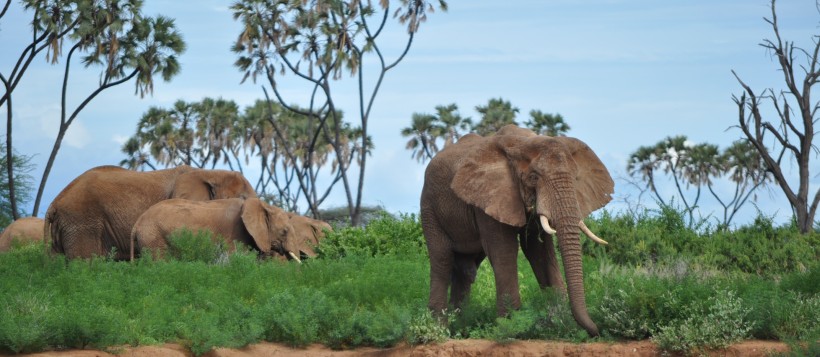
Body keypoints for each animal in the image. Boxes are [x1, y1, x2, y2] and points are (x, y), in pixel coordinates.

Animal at [422, 124, 616, 336]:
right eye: (533, 177)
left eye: (575, 178)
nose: (597, 331)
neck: (524, 142)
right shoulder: (489, 195)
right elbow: (504, 250)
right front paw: (511, 327)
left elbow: (539, 251)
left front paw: (560, 321)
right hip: (429, 208)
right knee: (442, 259)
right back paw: (439, 330)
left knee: (466, 269)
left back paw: (460, 327)